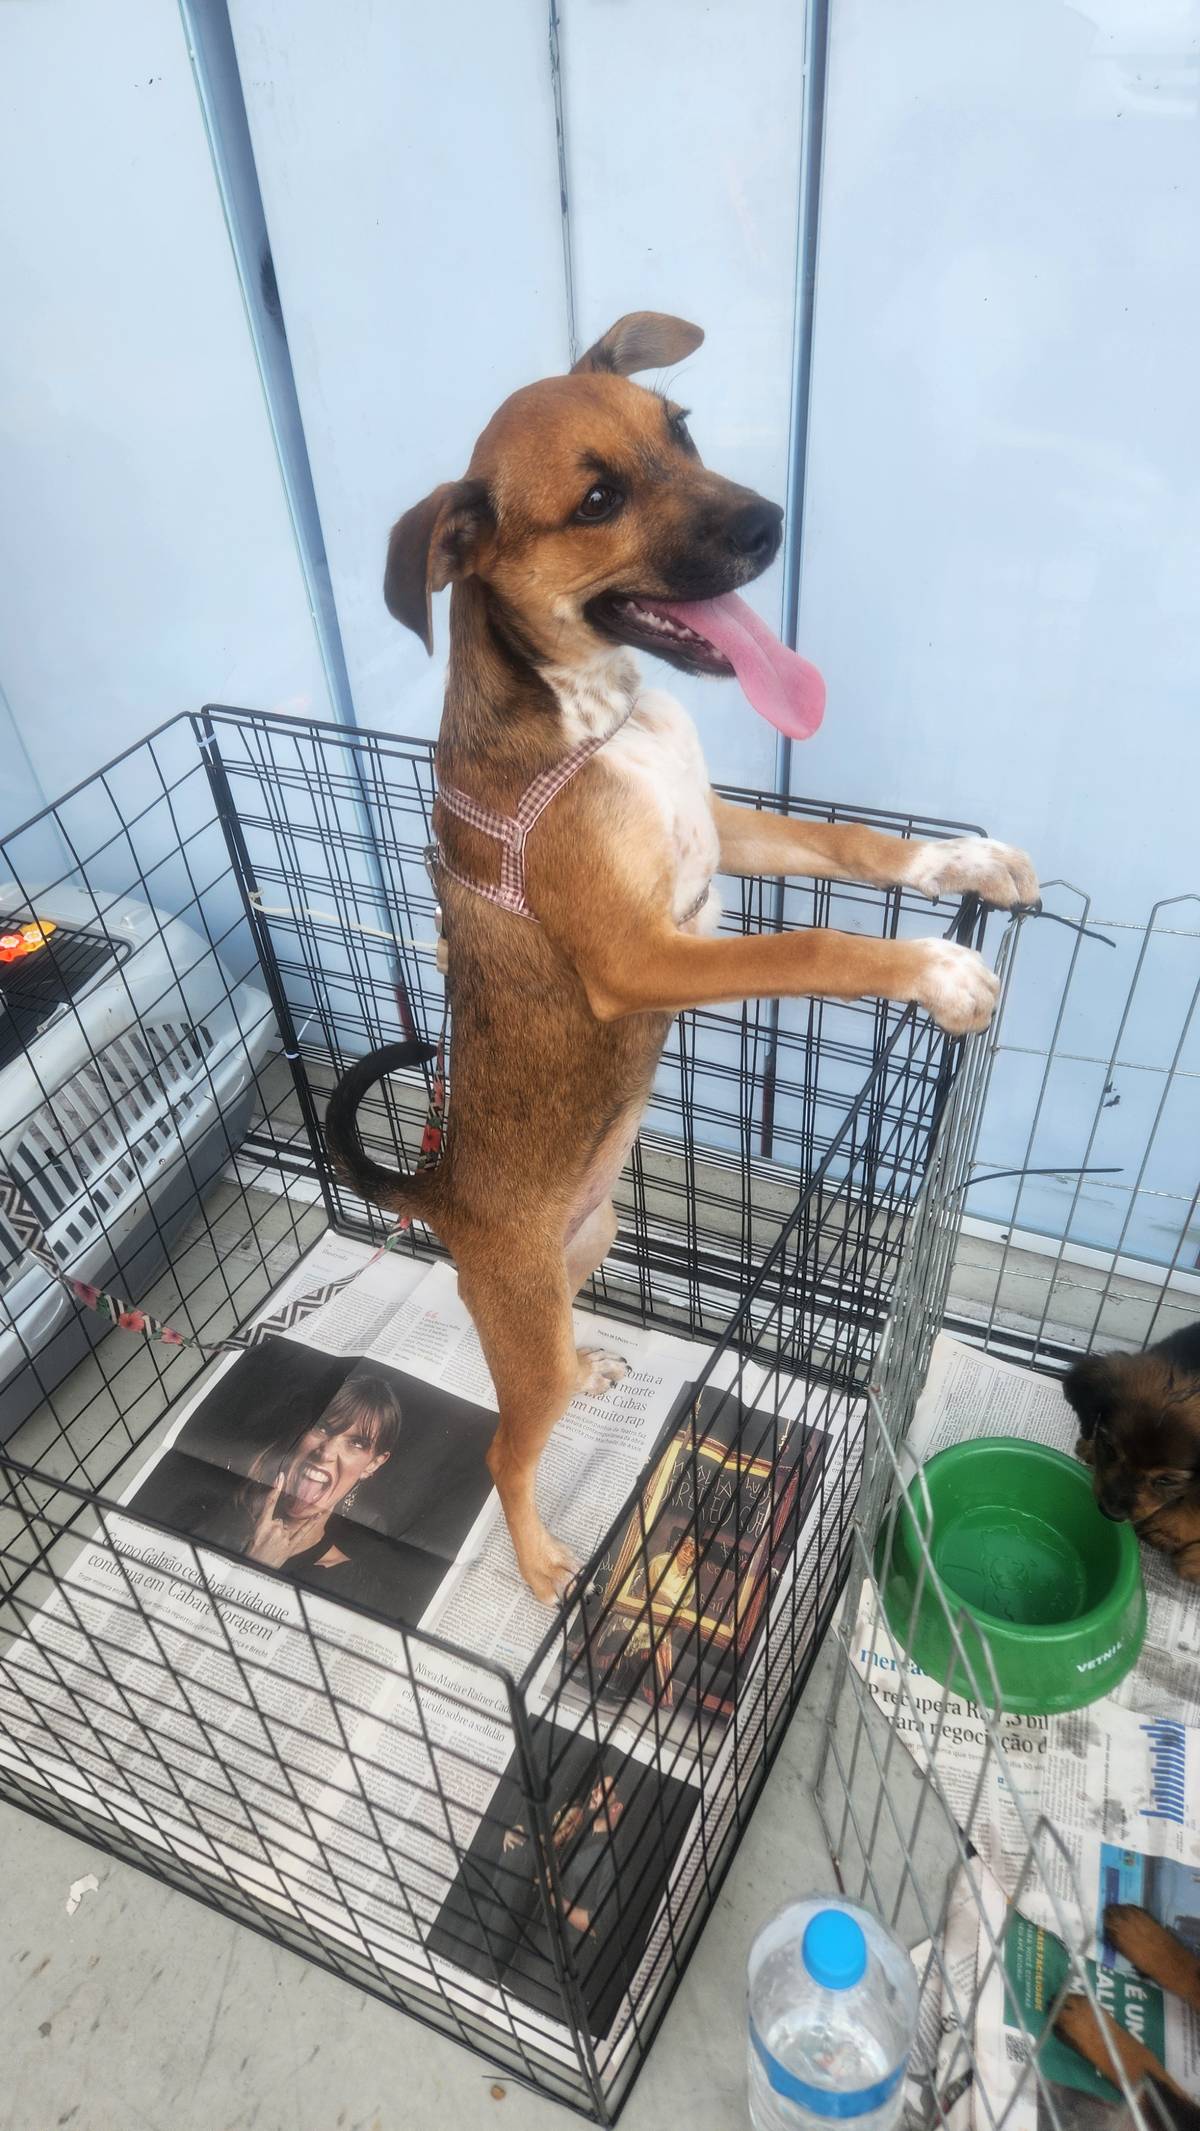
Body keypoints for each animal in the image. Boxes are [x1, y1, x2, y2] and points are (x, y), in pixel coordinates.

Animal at [326, 311, 1038, 1601]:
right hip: (522, 1324)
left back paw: (600, 1365)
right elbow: (813, 939)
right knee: (507, 1441)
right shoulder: (644, 955)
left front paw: (966, 861)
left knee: (534, 1338)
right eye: (599, 498)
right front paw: (938, 972)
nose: (770, 525)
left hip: (587, 1244)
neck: (600, 712)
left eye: (684, 429)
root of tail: (439, 1193)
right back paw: (542, 1562)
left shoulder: (720, 829)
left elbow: (852, 844)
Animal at [1065, 1323, 1200, 1580]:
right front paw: (1088, 1446)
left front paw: (1169, 1528)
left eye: (1167, 1480)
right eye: (1109, 1448)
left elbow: (1195, 1502)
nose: (1111, 1514)